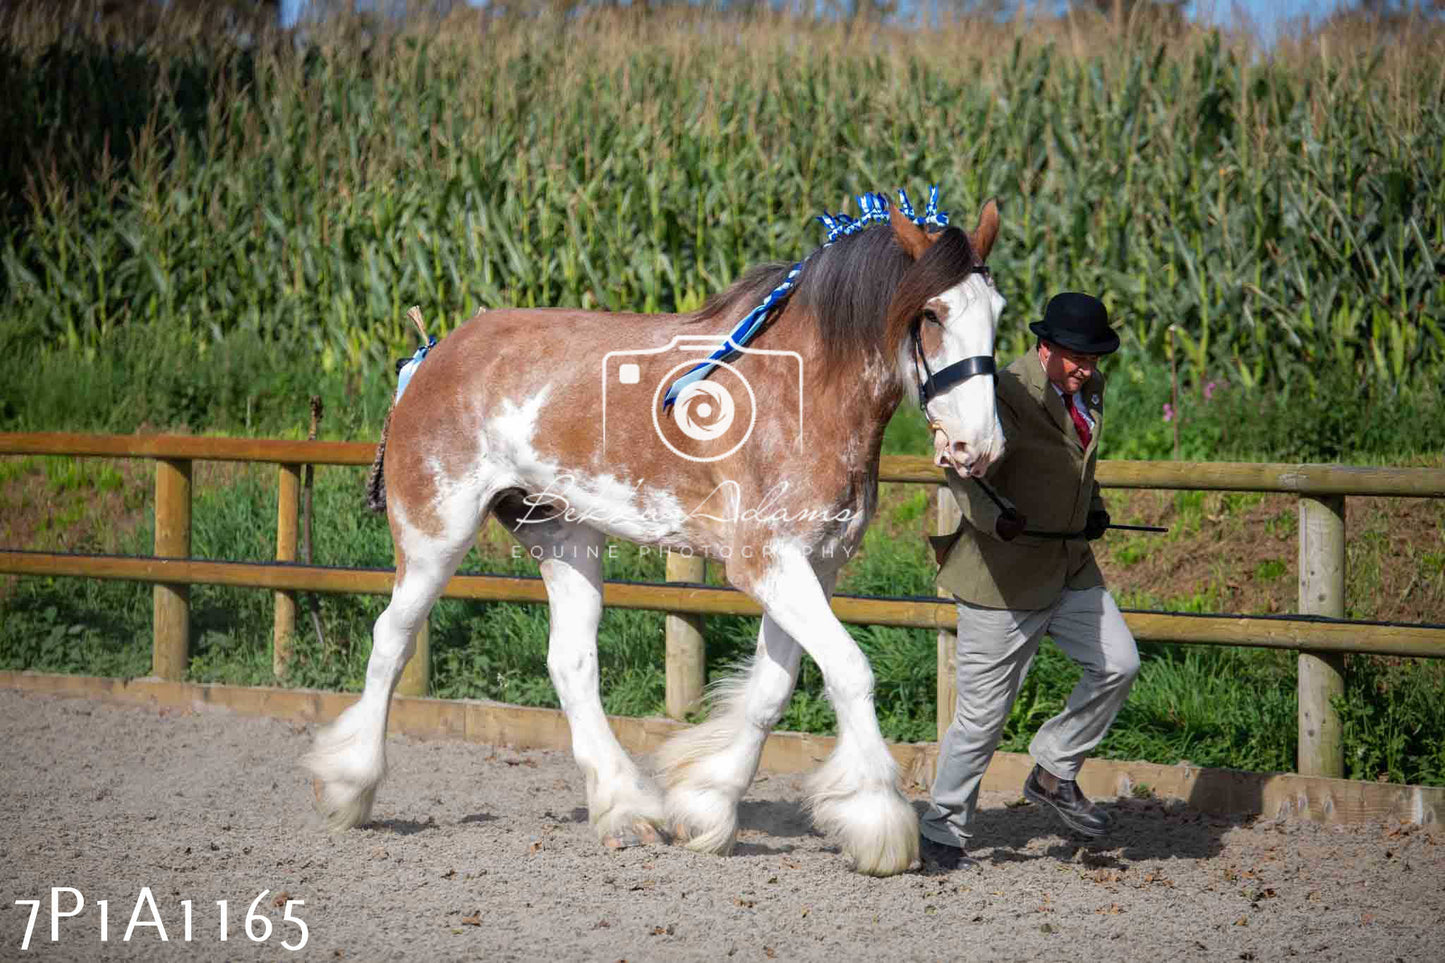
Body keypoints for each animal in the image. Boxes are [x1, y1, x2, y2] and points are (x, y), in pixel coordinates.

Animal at [304, 189, 1005, 879]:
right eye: (934, 313)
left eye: (999, 311)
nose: (979, 447)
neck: (801, 391)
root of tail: (436, 353)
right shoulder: (765, 562)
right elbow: (850, 670)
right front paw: (879, 826)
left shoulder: (815, 565)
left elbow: (771, 690)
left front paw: (707, 806)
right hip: (436, 536)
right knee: (392, 640)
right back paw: (349, 788)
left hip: (564, 537)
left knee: (571, 663)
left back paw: (624, 810)